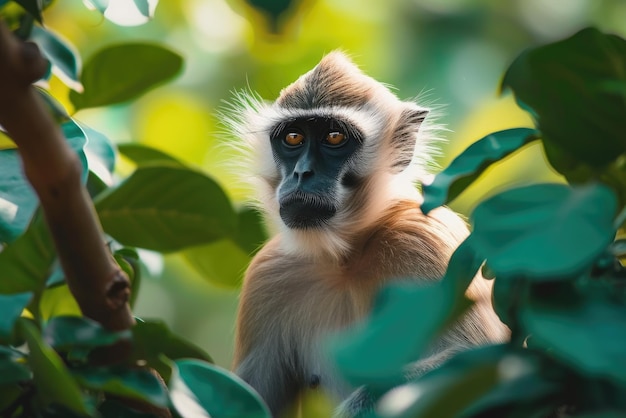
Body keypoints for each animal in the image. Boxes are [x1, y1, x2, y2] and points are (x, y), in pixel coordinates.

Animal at [225, 53, 508, 418]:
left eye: (334, 137)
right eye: (293, 138)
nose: (302, 173)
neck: (347, 259)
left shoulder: (423, 240)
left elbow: (488, 362)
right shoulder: (270, 273)